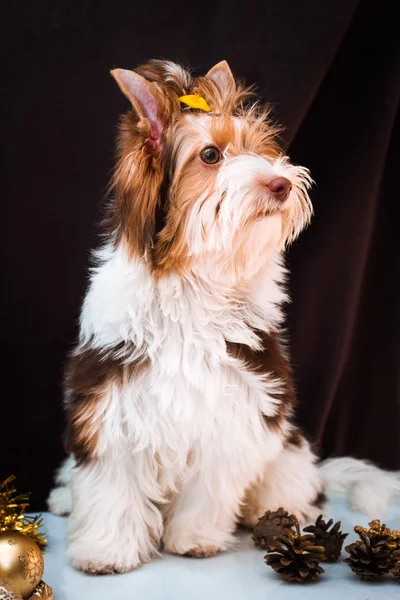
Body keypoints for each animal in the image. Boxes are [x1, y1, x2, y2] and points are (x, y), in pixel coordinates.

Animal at [47, 58, 396, 576]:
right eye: (210, 155)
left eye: (258, 149)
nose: (281, 183)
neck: (196, 279)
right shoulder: (113, 395)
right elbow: (112, 480)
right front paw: (106, 550)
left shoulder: (235, 405)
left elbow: (210, 482)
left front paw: (195, 538)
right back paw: (66, 497)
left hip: (288, 449)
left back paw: (283, 509)